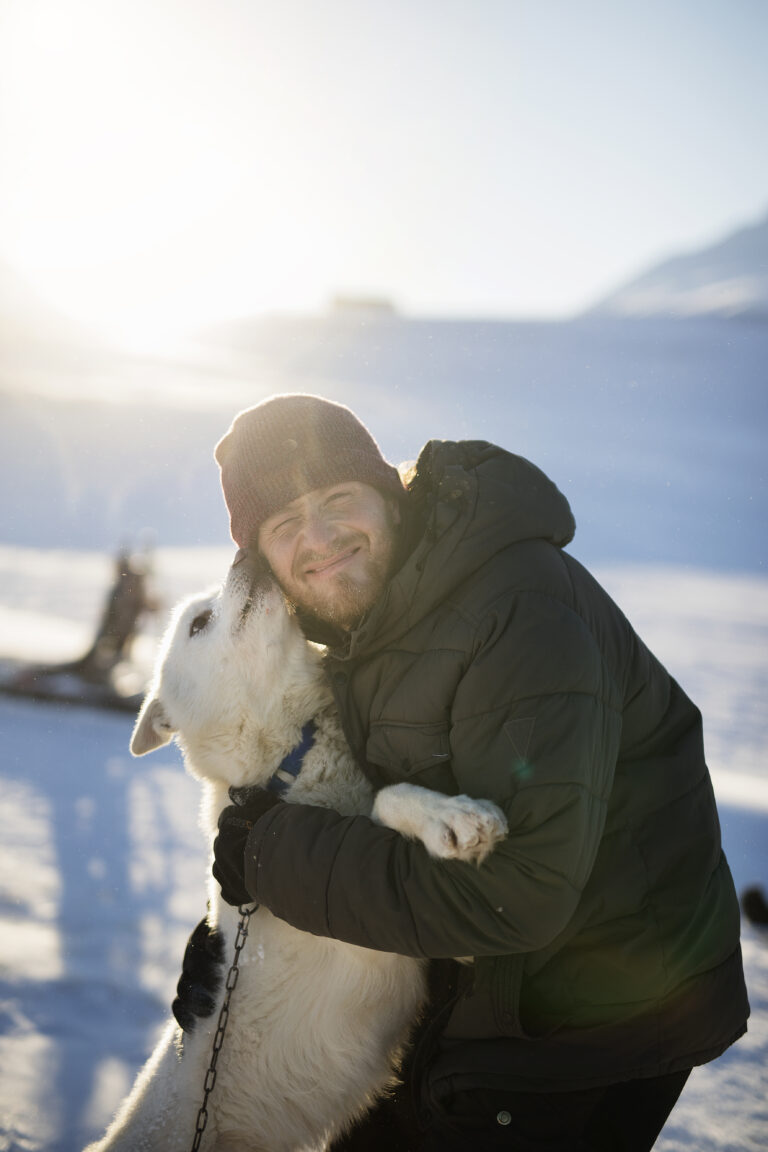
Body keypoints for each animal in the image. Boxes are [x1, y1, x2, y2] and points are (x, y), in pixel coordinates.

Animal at [85, 559, 511, 1152]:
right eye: (199, 622)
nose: (243, 557)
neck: (286, 767)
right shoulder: (366, 937)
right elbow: (385, 800)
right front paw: (451, 819)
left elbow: (385, 797)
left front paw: (443, 812)